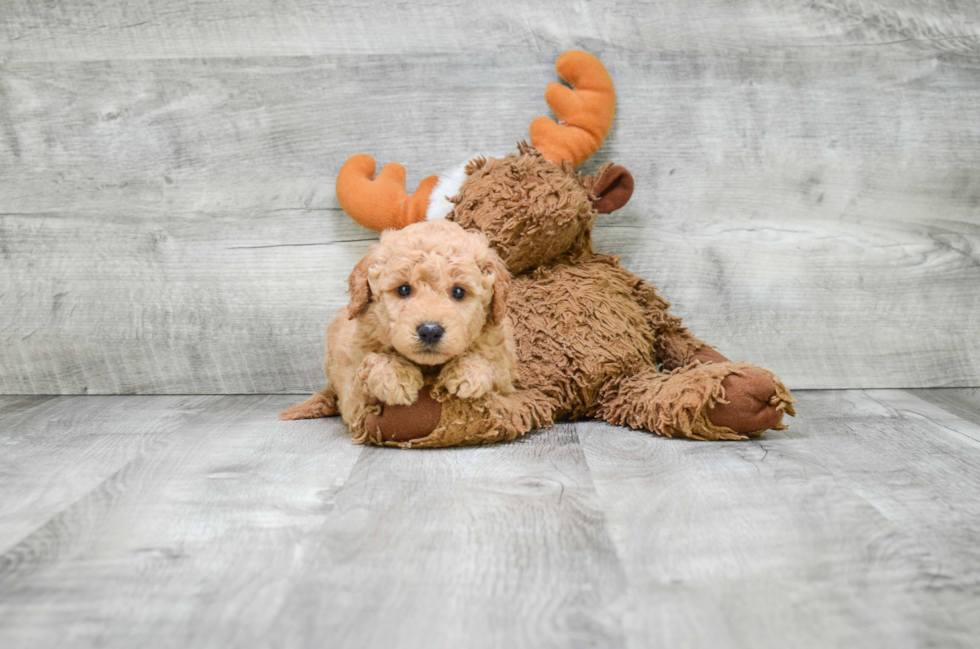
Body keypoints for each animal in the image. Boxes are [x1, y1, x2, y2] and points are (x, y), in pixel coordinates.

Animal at [280, 220, 516, 442]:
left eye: (458, 292)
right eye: (404, 289)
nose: (430, 331)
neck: (428, 366)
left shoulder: (506, 384)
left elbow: (491, 368)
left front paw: (468, 371)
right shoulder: (354, 403)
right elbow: (371, 368)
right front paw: (395, 377)